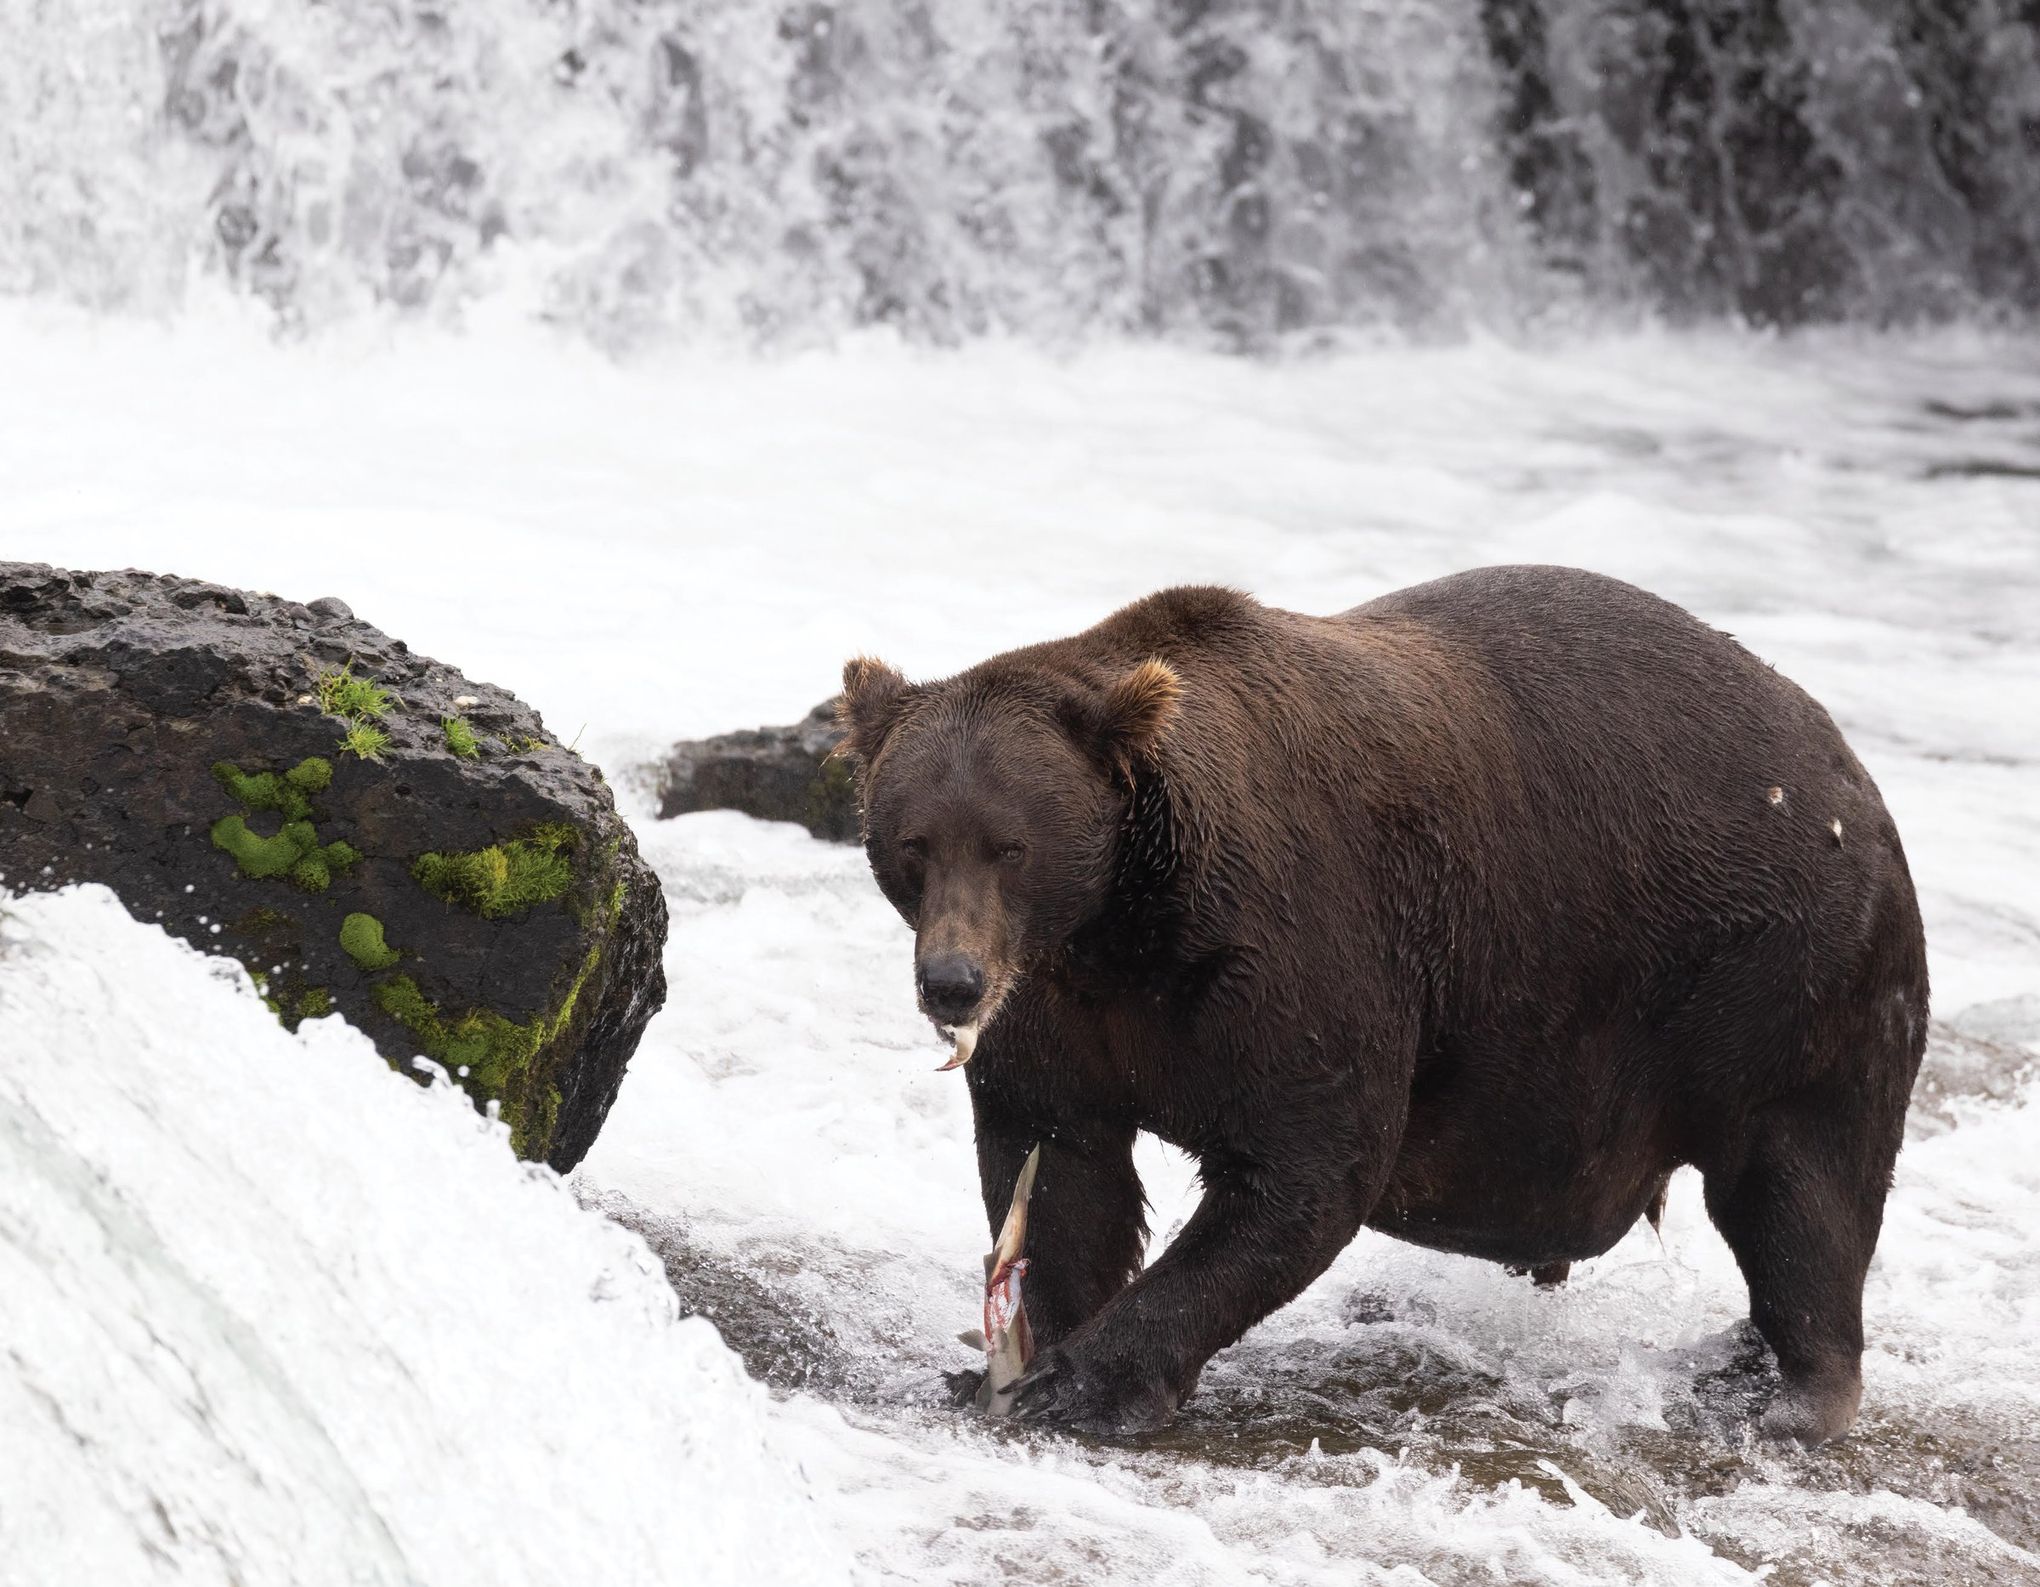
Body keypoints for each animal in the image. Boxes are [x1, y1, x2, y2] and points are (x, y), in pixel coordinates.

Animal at [832, 562, 1925, 1444]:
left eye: (1010, 844)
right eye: (911, 842)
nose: (952, 980)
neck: (1123, 931)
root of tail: (1851, 768)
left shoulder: (1293, 958)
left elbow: (1303, 1168)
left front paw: (1083, 1382)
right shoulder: (1064, 1009)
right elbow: (1058, 1163)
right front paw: (1010, 1359)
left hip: (1777, 973)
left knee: (1801, 1185)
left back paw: (1782, 1394)